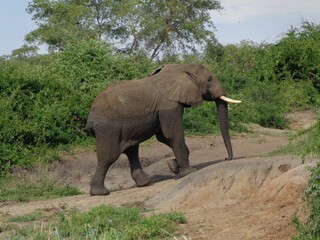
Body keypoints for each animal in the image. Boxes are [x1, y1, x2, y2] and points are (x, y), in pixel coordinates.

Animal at [86, 63, 241, 195]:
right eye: (209, 80)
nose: (226, 158)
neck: (182, 68)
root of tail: (91, 115)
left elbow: (164, 137)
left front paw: (173, 166)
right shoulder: (169, 105)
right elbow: (172, 134)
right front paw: (189, 172)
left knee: (131, 150)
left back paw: (146, 182)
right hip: (108, 129)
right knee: (109, 157)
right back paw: (100, 193)